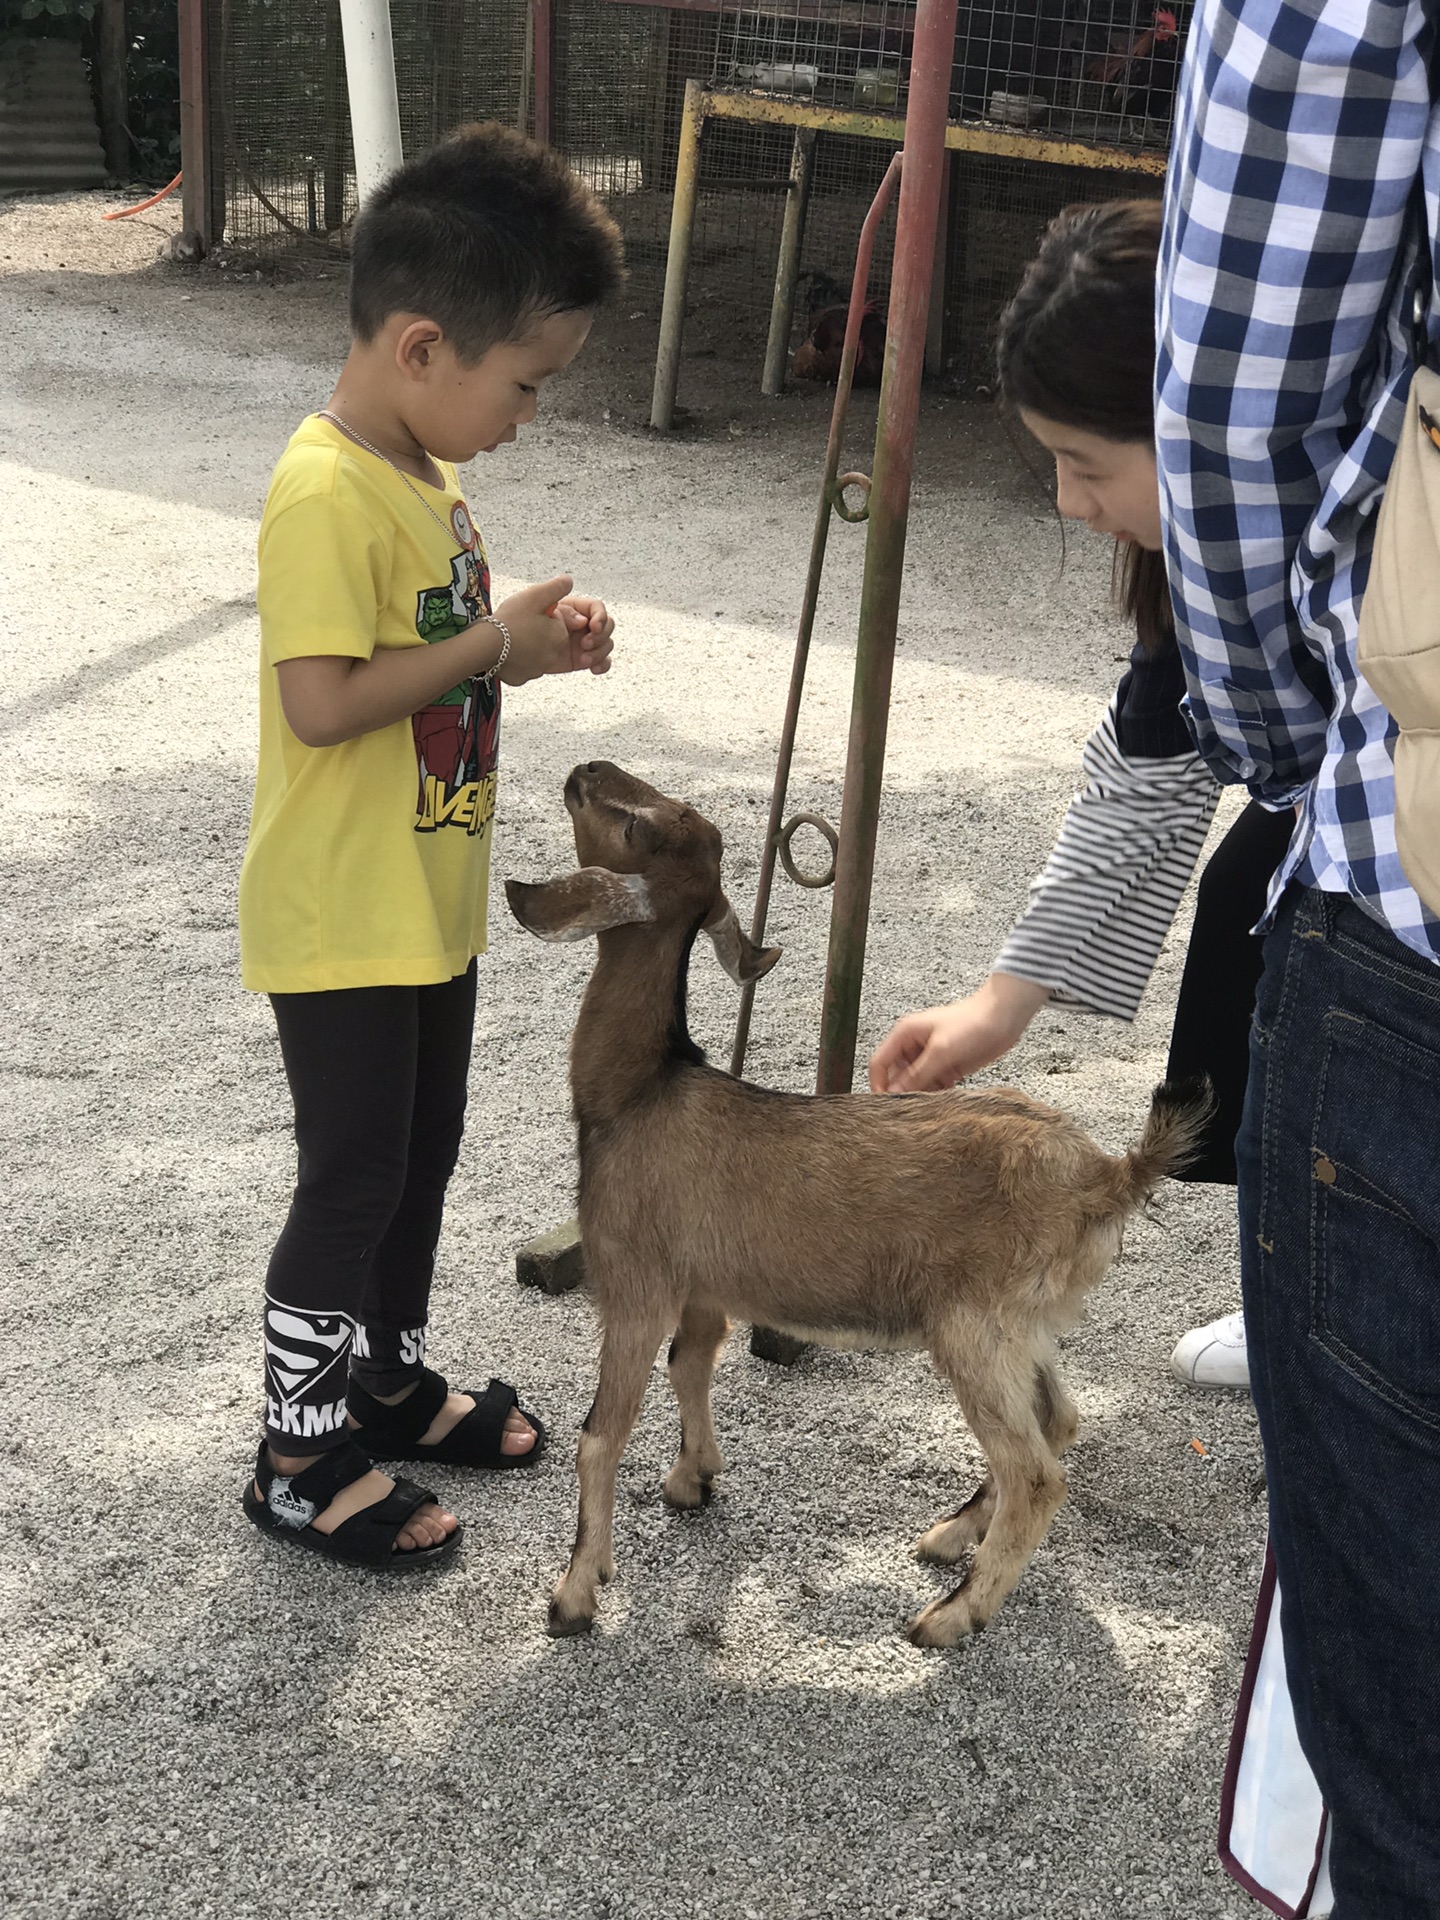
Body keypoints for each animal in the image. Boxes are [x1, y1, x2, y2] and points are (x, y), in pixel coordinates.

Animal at [506, 764, 1205, 1651]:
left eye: (636, 828)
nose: (583, 772)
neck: (640, 1092)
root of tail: (1108, 1173)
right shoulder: (705, 1286)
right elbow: (691, 1364)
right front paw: (693, 1479)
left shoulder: (635, 1279)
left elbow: (601, 1435)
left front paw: (575, 1594)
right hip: (1027, 1322)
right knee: (1061, 1420)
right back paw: (949, 1537)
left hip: (973, 1323)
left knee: (1037, 1471)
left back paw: (951, 1614)